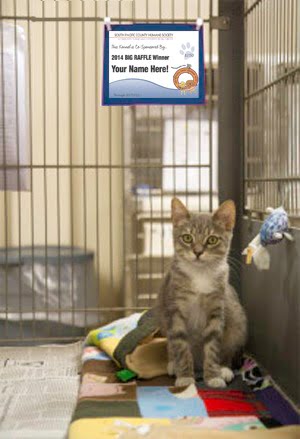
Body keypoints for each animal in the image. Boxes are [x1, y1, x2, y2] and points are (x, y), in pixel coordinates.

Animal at [156, 199, 247, 388]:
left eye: (212, 239)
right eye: (187, 238)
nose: (197, 252)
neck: (200, 275)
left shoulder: (217, 309)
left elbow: (213, 345)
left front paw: (213, 377)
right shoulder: (174, 309)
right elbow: (180, 345)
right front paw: (185, 377)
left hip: (237, 320)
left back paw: (224, 369)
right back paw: (173, 364)